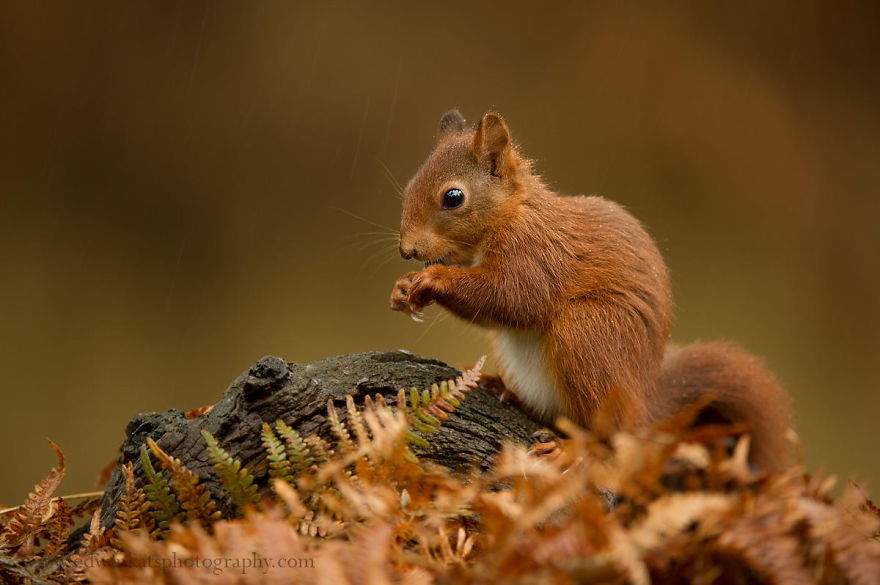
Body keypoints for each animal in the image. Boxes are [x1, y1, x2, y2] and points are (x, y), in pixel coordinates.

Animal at [389, 109, 792, 472]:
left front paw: (433, 279)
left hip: (588, 333)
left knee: (610, 438)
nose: (406, 250)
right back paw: (501, 387)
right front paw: (402, 287)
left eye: (453, 197)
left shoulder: (537, 256)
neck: (512, 212)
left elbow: (513, 299)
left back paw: (571, 448)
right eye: (409, 186)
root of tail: (642, 400)